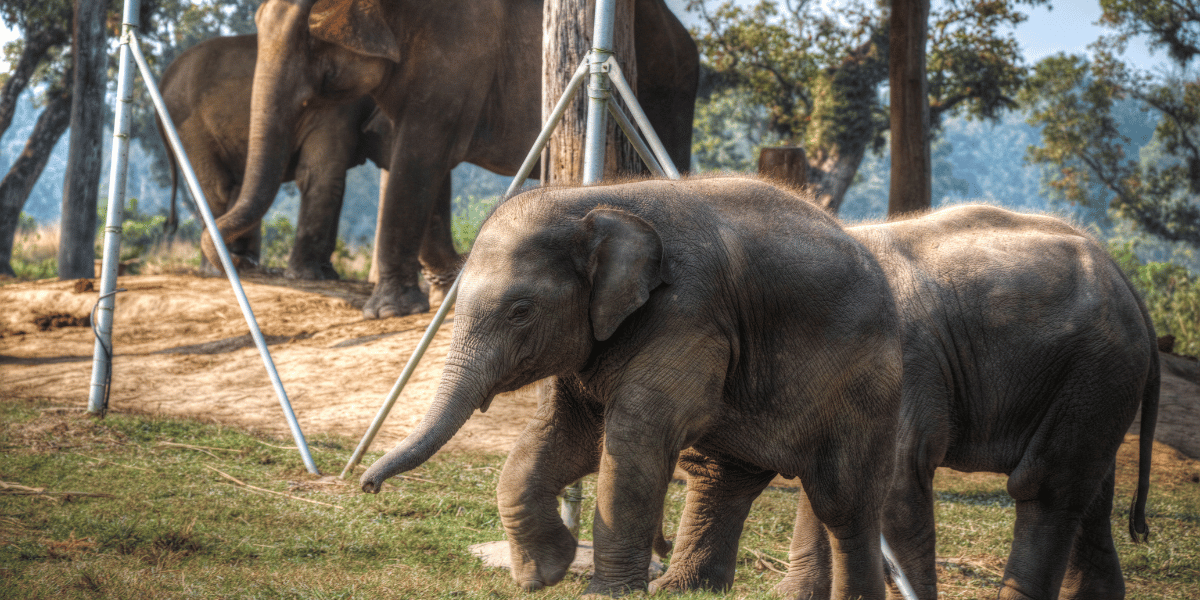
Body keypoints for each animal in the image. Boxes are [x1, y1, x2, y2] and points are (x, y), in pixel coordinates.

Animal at [157, 35, 393, 280]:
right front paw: (309, 276)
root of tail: (165, 76)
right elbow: (320, 177)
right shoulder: (335, 111)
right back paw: (221, 269)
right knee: (217, 188)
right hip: (189, 128)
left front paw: (329, 275)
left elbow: (335, 182)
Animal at [204, 0, 696, 319]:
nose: (243, 264)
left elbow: (418, 154)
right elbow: (421, 163)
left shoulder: (454, 54)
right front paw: (445, 288)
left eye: (308, 36)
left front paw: (387, 312)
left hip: (667, 85)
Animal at [360, 177, 902, 600]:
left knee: (840, 498)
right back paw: (682, 590)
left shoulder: (687, 313)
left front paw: (600, 593)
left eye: (520, 311)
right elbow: (564, 436)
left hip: (864, 387)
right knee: (720, 477)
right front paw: (544, 573)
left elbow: (634, 439)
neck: (593, 201)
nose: (368, 486)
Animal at [657, 202, 1161, 600]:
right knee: (1091, 492)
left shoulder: (900, 368)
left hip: (1096, 371)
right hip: (1095, 383)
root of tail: (1125, 279)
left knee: (1046, 485)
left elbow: (892, 481)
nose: (658, 572)